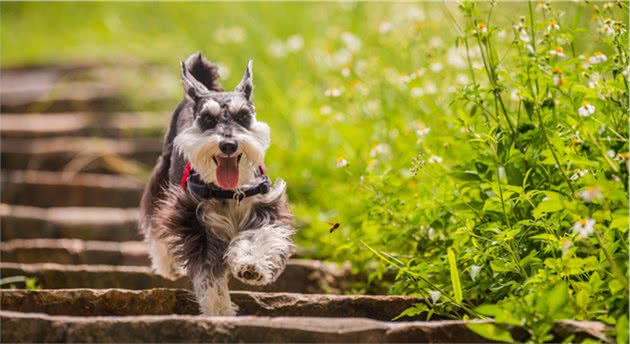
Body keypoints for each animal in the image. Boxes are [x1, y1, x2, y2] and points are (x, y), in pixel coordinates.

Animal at [139, 51, 296, 318]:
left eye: (243, 116)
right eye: (207, 119)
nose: (228, 145)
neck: (229, 191)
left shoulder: (265, 208)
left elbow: (258, 237)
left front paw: (251, 266)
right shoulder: (194, 223)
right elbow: (208, 275)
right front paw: (219, 310)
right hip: (162, 179)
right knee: (155, 220)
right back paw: (168, 265)